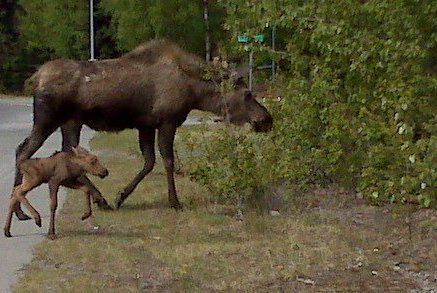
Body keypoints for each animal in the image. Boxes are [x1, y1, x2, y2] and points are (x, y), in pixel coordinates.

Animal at [12, 38, 272, 219]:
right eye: (248, 94)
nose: (267, 119)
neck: (194, 93)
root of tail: (36, 77)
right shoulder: (167, 122)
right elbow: (167, 160)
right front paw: (175, 202)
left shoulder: (145, 125)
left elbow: (148, 161)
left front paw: (121, 197)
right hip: (48, 119)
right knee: (25, 151)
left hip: (70, 122)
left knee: (43, 151)